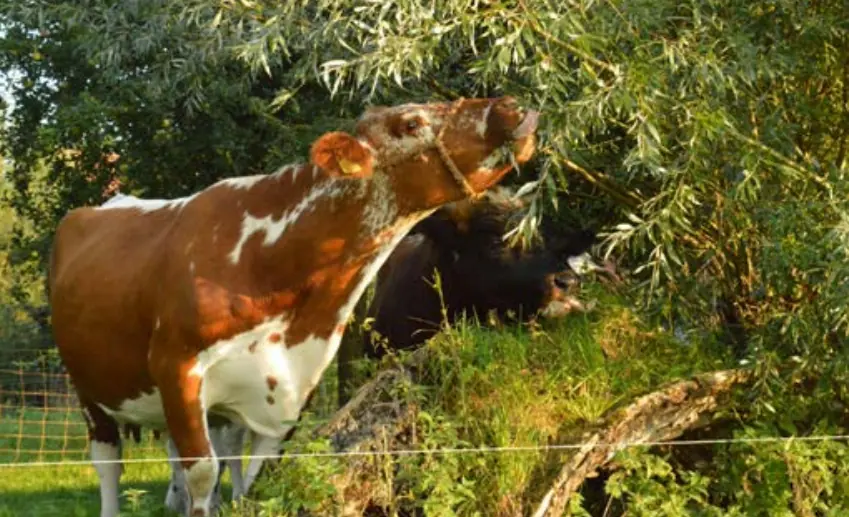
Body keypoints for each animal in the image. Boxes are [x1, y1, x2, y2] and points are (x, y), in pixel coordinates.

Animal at [48, 97, 536, 516]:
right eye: (411, 123)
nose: (510, 106)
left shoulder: (289, 393)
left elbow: (256, 476)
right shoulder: (176, 367)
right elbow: (202, 473)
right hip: (88, 385)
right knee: (108, 461)